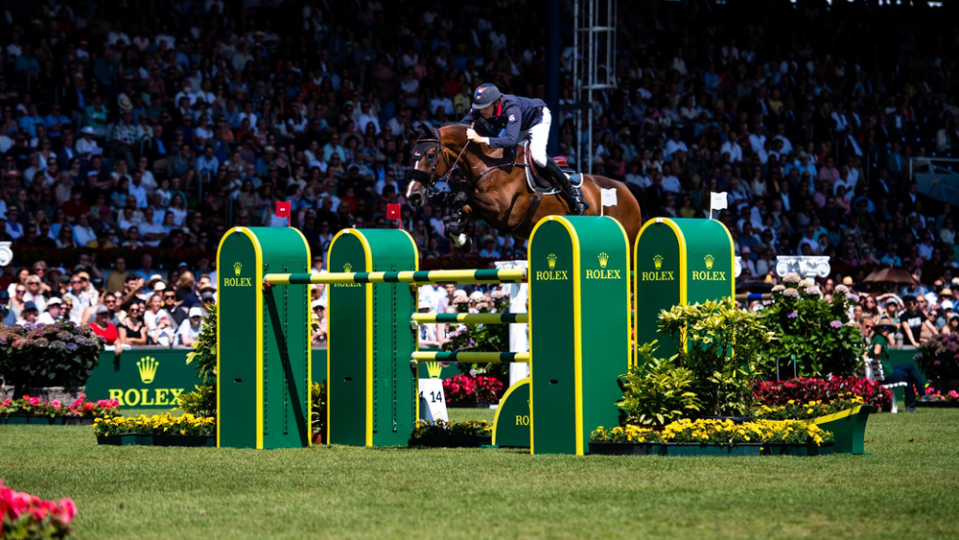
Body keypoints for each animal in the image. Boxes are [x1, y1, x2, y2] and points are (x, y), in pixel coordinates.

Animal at [402, 125, 648, 252]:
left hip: (630, 237)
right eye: (412, 154)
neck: (488, 163)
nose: (412, 195)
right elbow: (454, 201)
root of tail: (625, 188)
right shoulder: (480, 208)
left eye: (430, 155)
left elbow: (459, 194)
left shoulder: (500, 209)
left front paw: (459, 234)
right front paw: (459, 235)